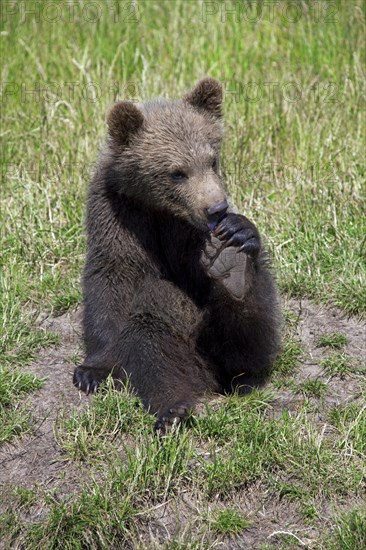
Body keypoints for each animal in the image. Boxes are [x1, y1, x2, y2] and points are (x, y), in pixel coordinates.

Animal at [73, 78, 280, 432]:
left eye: (212, 160)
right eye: (177, 172)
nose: (217, 208)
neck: (157, 209)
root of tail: (209, 376)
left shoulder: (189, 236)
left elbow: (202, 280)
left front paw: (237, 234)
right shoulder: (118, 215)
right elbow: (110, 284)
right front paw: (93, 371)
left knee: (250, 331)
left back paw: (233, 269)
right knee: (153, 339)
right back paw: (172, 409)